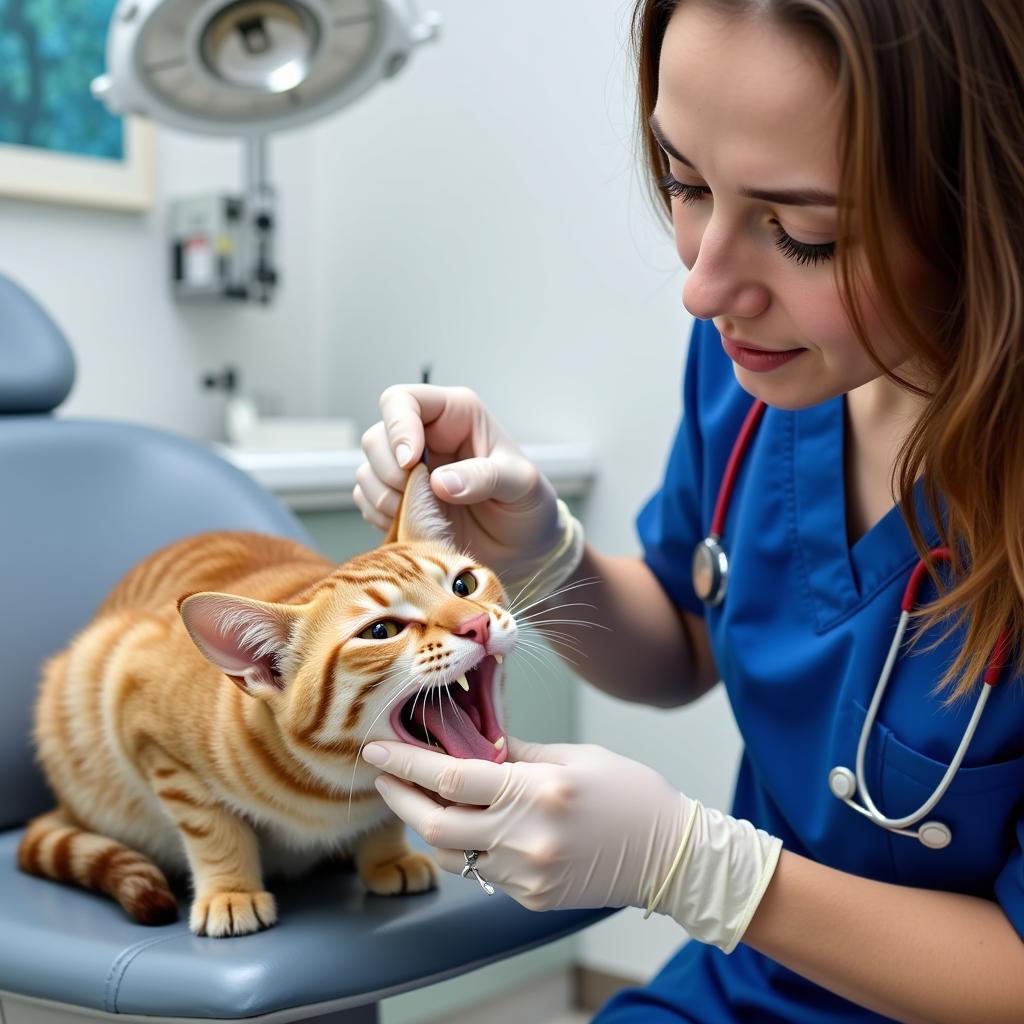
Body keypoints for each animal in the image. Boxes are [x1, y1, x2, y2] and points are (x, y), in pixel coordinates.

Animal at [16, 464, 512, 937]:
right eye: (381, 631)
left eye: (463, 585)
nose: (475, 624)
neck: (338, 785)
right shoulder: (153, 738)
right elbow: (213, 831)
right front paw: (230, 892)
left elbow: (384, 819)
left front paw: (386, 858)